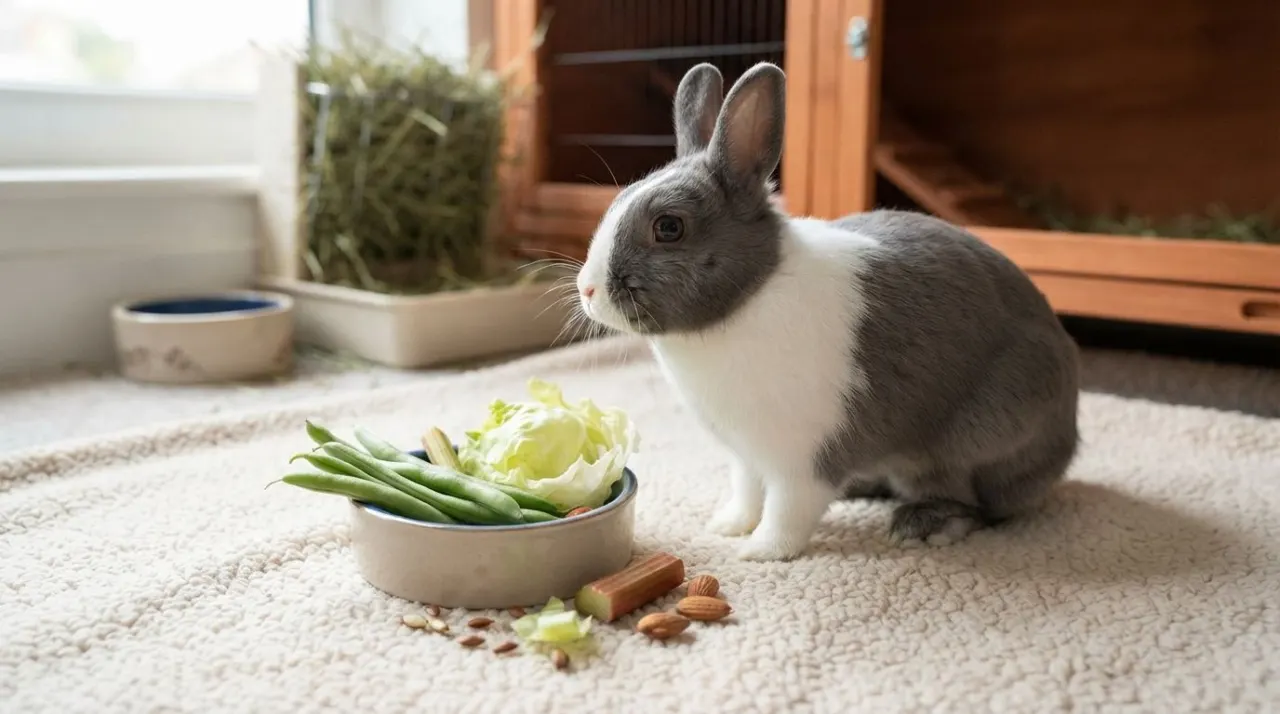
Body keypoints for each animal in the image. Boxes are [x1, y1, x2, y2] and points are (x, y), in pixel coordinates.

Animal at [574, 61, 1080, 561]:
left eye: (669, 227)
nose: (588, 289)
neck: (750, 295)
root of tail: (1067, 437)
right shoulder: (745, 455)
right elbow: (747, 492)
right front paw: (727, 526)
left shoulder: (804, 459)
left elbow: (787, 509)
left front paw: (760, 551)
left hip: (980, 435)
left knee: (978, 502)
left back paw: (923, 524)